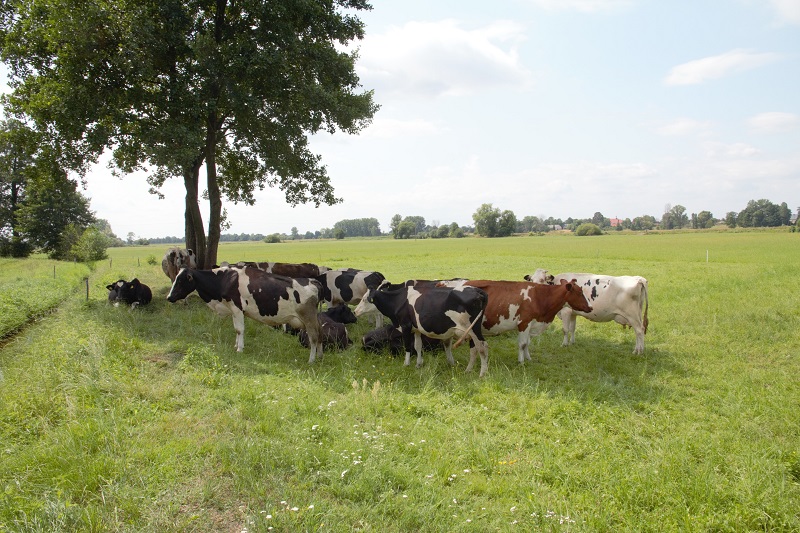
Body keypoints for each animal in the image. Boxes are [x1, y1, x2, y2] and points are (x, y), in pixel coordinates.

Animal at [167, 264, 324, 362]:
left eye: (180, 281)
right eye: (175, 279)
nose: (169, 297)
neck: (224, 279)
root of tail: (312, 281)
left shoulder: (236, 307)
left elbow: (239, 329)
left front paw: (240, 348)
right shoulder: (233, 310)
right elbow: (236, 329)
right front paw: (236, 345)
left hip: (308, 318)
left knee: (314, 337)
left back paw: (311, 359)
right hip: (313, 319)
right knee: (320, 334)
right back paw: (320, 356)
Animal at [354, 280, 490, 376]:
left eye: (365, 299)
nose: (355, 311)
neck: (398, 300)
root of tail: (478, 291)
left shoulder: (405, 325)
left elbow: (408, 346)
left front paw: (406, 364)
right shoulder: (416, 329)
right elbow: (417, 346)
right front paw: (418, 364)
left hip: (473, 329)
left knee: (482, 348)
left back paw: (482, 374)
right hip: (472, 331)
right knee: (474, 350)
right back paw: (468, 370)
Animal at [434, 278, 592, 362]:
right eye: (579, 292)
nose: (590, 307)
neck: (540, 297)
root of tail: (445, 283)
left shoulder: (530, 324)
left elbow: (527, 343)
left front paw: (528, 358)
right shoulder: (524, 323)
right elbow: (522, 344)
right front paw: (521, 361)